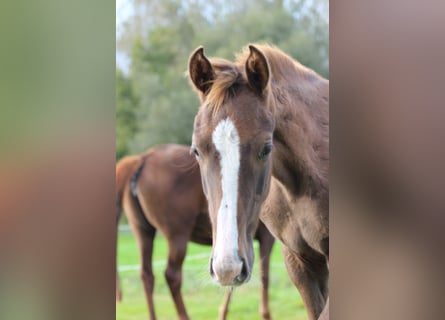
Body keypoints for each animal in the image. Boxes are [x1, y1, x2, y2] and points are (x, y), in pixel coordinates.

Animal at [114, 145, 274, 320]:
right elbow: (264, 276)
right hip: (177, 237)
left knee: (147, 274)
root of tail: (143, 158)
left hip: (143, 232)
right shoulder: (266, 238)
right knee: (172, 275)